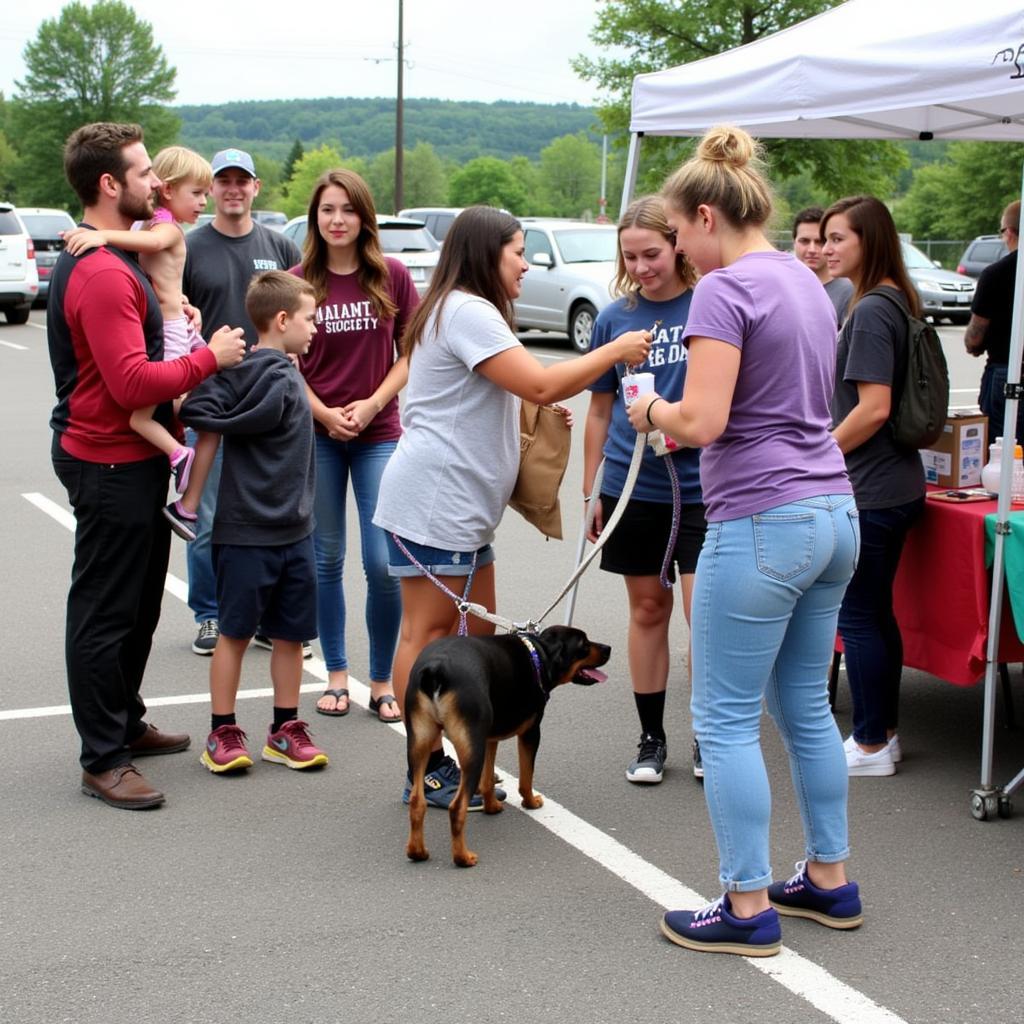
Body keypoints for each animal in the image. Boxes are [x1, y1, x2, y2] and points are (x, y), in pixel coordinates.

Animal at [405, 622, 610, 864]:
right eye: (584, 645)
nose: (608, 648)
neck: (539, 652)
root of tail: (436, 669)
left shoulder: (489, 737)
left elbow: (487, 780)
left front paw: (492, 806)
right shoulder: (531, 732)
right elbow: (526, 778)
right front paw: (530, 803)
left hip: (420, 742)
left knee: (417, 802)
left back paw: (417, 852)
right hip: (471, 748)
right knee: (457, 808)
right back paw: (463, 857)